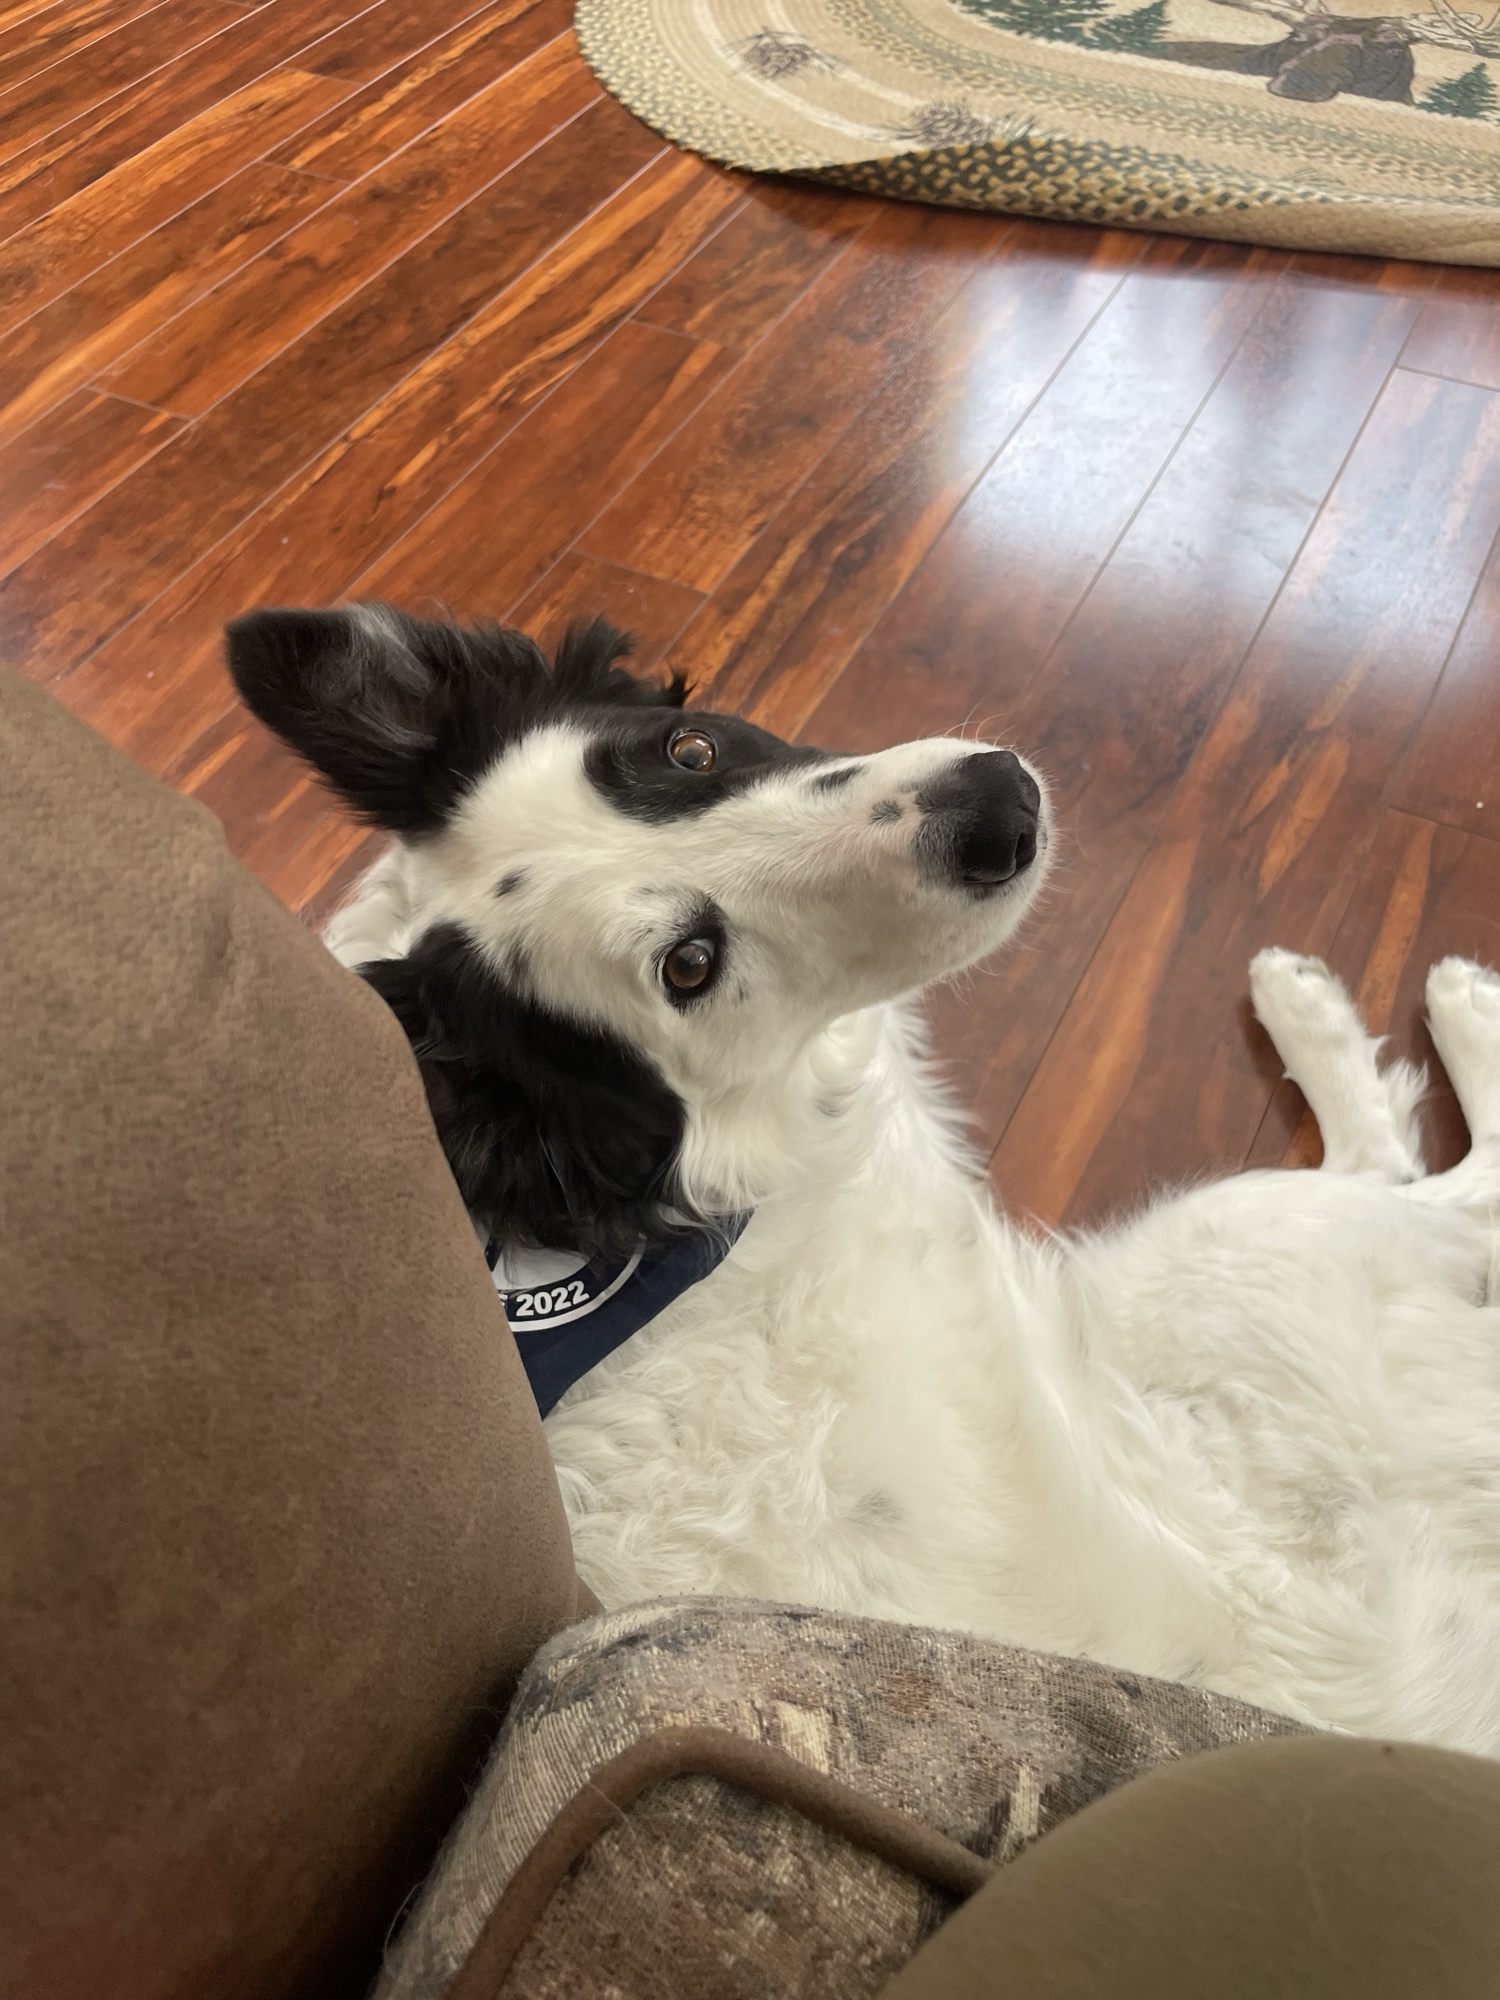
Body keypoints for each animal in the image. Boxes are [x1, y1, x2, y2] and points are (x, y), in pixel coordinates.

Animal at [229, 603, 1500, 1754]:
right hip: (1218, 1256)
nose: (1000, 804)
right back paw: (1394, 1005)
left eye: (691, 751)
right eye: (690, 966)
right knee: (1434, 1185)